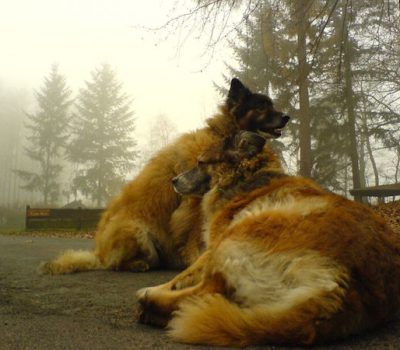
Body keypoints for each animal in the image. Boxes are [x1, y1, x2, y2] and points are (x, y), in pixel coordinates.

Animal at [40, 78, 290, 274]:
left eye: (271, 105)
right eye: (261, 107)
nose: (287, 116)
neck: (222, 133)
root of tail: (98, 254)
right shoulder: (193, 203)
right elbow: (195, 234)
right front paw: (195, 260)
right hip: (137, 232)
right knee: (115, 264)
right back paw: (137, 264)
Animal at [138, 131, 400, 348]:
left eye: (201, 162)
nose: (173, 181)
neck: (246, 179)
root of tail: (340, 290)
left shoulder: (214, 243)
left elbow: (182, 275)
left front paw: (156, 287)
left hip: (236, 237)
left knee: (207, 291)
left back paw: (151, 303)